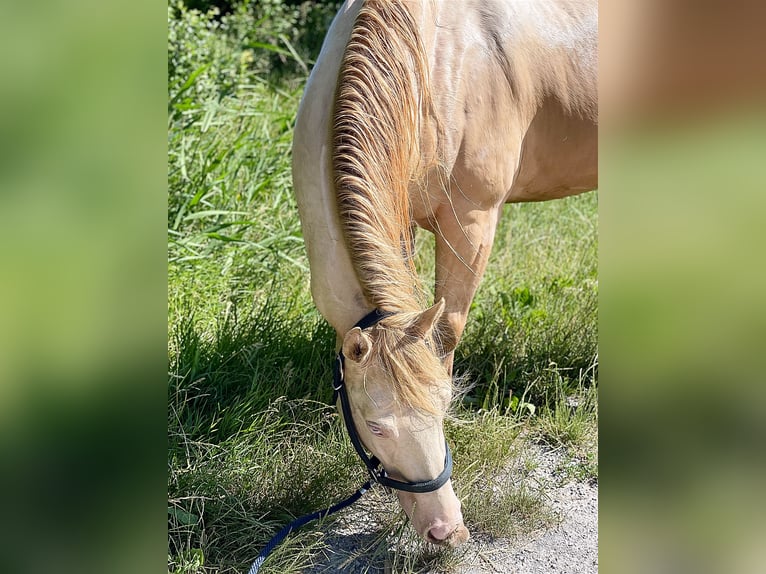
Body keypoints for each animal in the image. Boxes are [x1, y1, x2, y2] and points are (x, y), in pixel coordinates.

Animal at [292, 0, 596, 548]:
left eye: (444, 407)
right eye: (376, 425)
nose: (446, 530)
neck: (431, 63)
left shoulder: (472, 222)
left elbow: (447, 331)